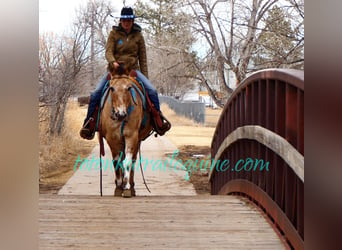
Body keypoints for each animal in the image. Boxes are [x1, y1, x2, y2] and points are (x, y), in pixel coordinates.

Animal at [99, 65, 152, 198]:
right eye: (112, 88)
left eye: (129, 88)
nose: (120, 114)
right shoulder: (112, 138)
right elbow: (117, 162)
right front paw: (118, 186)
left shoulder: (131, 136)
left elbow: (127, 161)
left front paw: (126, 187)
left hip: (137, 141)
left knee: (133, 160)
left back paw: (131, 186)